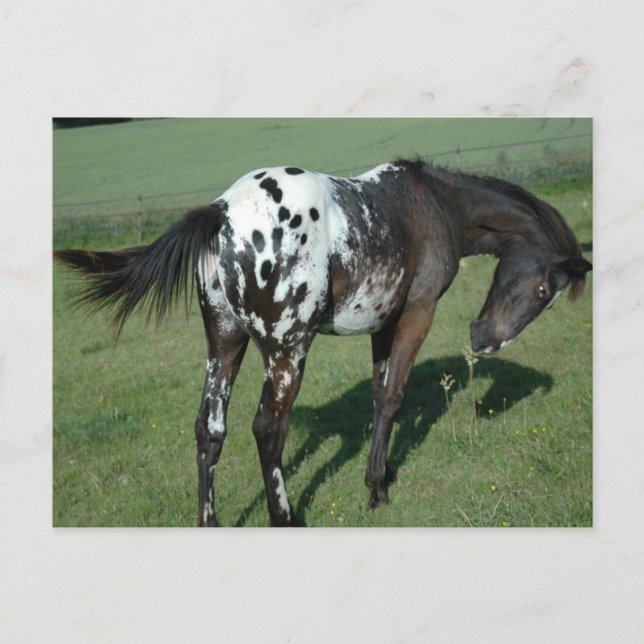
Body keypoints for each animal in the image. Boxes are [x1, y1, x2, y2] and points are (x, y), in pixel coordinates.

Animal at [54, 159, 592, 527]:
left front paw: (382, 474)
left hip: (225, 344)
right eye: (544, 291)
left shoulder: (383, 323)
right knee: (268, 428)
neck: (434, 204)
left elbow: (378, 396)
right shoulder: (417, 314)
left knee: (210, 429)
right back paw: (286, 518)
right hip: (288, 351)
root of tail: (221, 213)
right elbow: (394, 395)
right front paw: (376, 489)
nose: (484, 341)